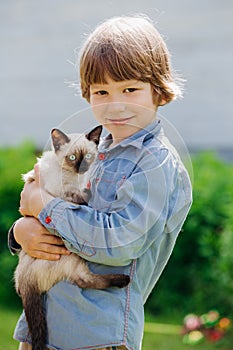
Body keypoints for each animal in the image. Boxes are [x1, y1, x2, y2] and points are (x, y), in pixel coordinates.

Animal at [14, 126, 130, 350]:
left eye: (89, 156)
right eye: (72, 157)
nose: (81, 167)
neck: (74, 179)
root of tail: (24, 280)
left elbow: (82, 196)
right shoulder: (61, 192)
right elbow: (79, 199)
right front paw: (85, 200)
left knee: (83, 280)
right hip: (73, 256)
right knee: (85, 280)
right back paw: (123, 280)